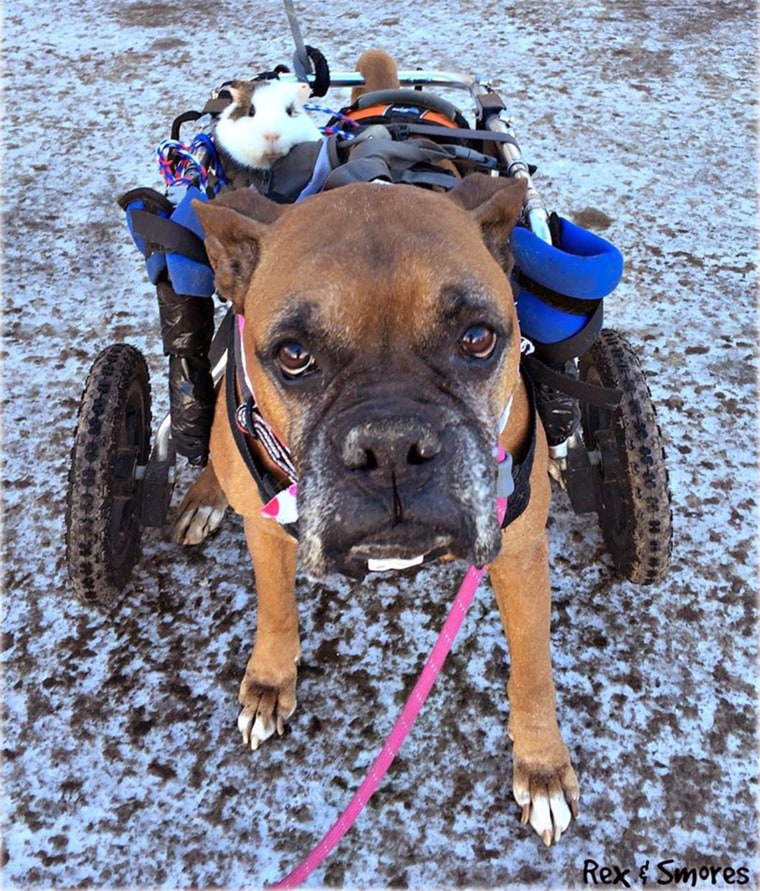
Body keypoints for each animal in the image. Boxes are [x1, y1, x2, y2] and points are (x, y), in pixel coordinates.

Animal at [177, 172, 580, 844]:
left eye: (478, 339)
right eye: (292, 355)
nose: (391, 445)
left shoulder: (520, 555)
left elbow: (533, 669)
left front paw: (542, 764)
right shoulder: (267, 532)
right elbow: (277, 609)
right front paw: (270, 679)